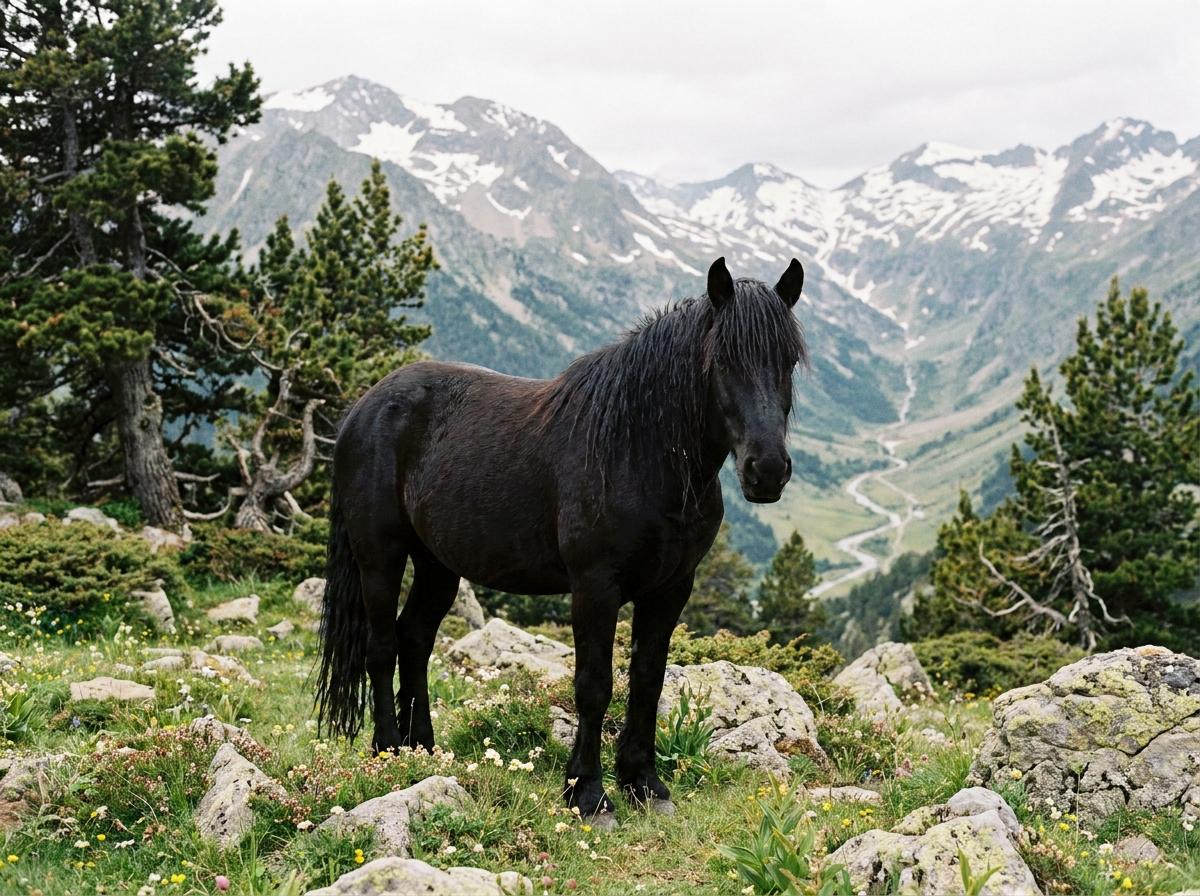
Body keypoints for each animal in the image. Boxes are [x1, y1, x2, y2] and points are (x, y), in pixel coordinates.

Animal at [316, 256, 807, 818]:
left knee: (414, 638)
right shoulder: (595, 587)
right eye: (723, 362)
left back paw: (423, 747)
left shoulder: (670, 589)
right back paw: (387, 748)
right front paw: (587, 793)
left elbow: (648, 680)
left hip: (438, 565)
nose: (767, 471)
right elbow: (594, 685)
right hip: (380, 555)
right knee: (380, 647)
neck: (637, 451)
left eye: (788, 362)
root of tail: (364, 408)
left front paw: (643, 783)